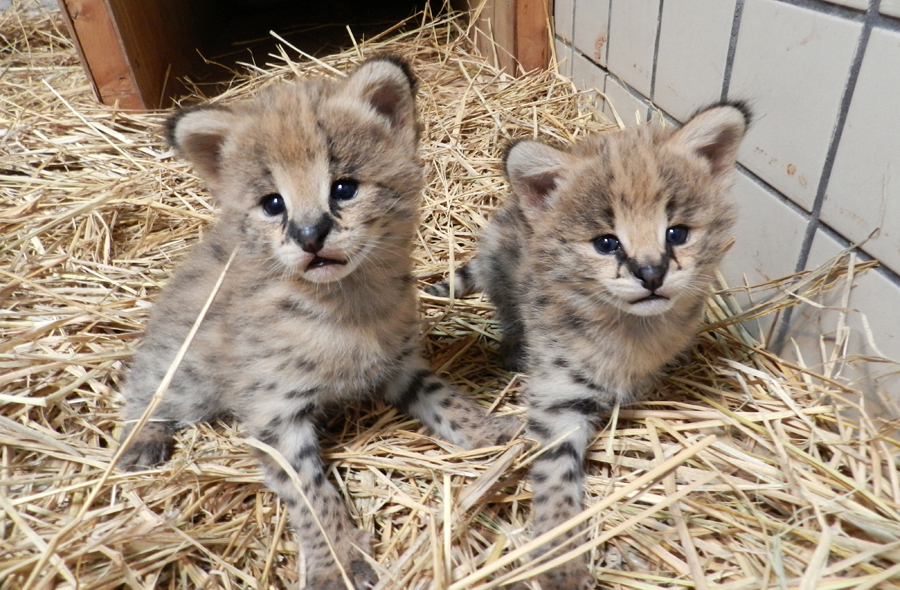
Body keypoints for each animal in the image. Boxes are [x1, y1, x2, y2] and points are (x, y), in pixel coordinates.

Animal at [117, 56, 516, 590]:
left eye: (344, 188)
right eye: (273, 203)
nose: (309, 235)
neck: (345, 305)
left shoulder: (402, 366)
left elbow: (448, 400)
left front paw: (494, 433)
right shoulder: (275, 414)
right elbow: (311, 495)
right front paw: (336, 562)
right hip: (187, 371)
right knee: (146, 383)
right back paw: (142, 437)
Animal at [426, 104, 748, 588]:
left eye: (677, 233)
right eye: (606, 242)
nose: (651, 273)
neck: (632, 330)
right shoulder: (557, 398)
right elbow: (556, 477)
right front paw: (562, 557)